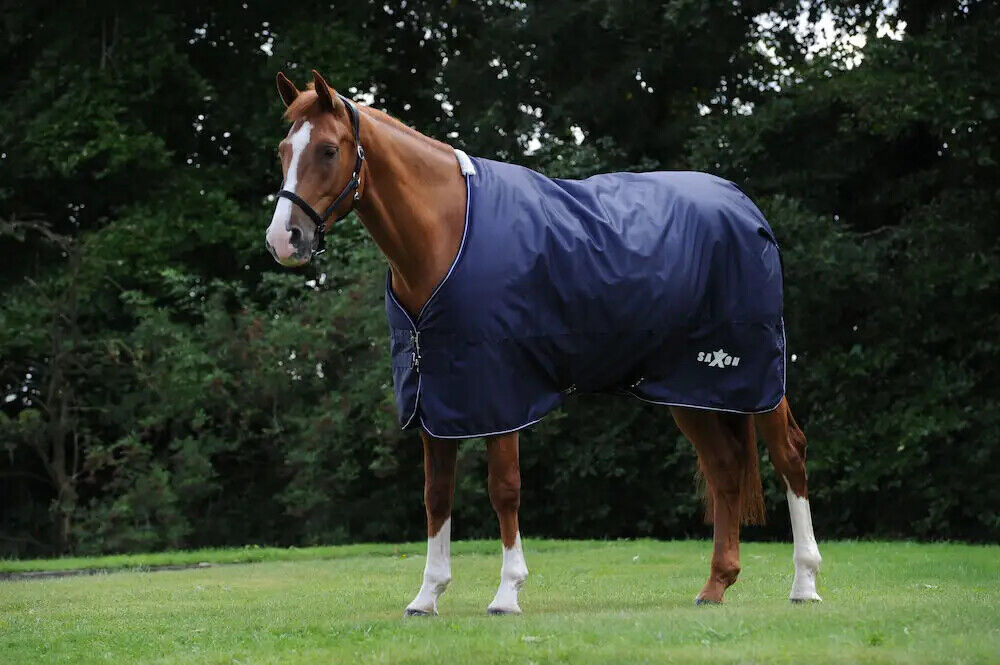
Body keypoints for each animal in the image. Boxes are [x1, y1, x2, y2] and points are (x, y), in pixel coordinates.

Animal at [265, 70, 822, 615]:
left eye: (329, 150)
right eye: (284, 150)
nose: (283, 239)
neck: (446, 233)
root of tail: (743, 205)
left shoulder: (501, 392)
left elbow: (504, 489)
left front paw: (507, 592)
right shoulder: (435, 396)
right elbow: (436, 494)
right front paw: (427, 595)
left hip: (754, 374)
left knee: (788, 453)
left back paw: (804, 584)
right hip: (689, 388)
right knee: (725, 468)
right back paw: (715, 586)